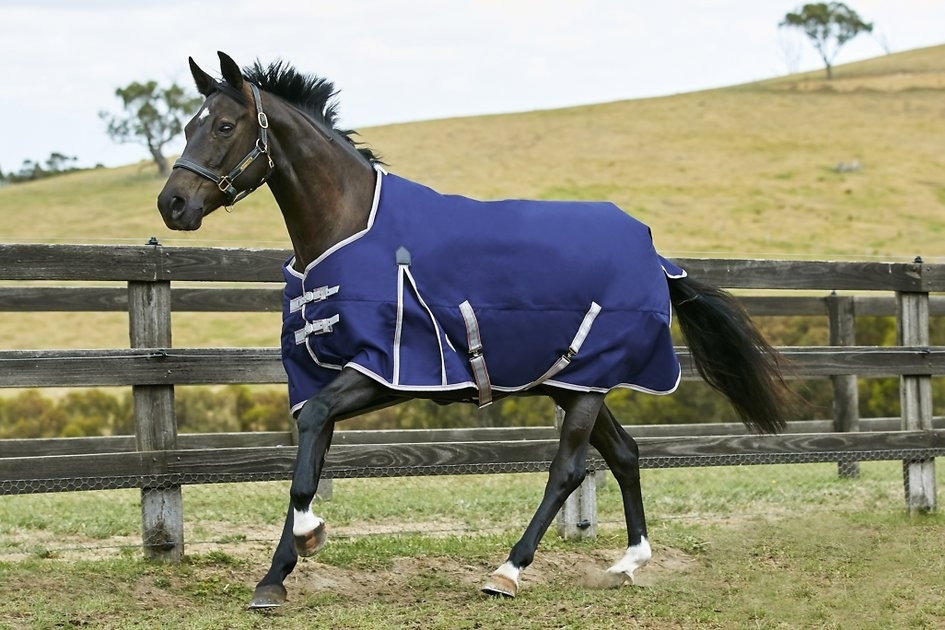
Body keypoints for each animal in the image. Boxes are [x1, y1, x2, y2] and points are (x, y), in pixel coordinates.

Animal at [157, 52, 789, 609]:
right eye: (188, 125)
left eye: (224, 125)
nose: (173, 204)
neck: (351, 228)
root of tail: (654, 255)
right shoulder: (327, 375)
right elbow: (308, 460)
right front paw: (275, 579)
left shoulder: (384, 371)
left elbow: (308, 446)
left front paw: (310, 538)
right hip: (575, 384)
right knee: (627, 454)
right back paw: (628, 562)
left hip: (586, 387)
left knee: (568, 470)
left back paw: (507, 572)